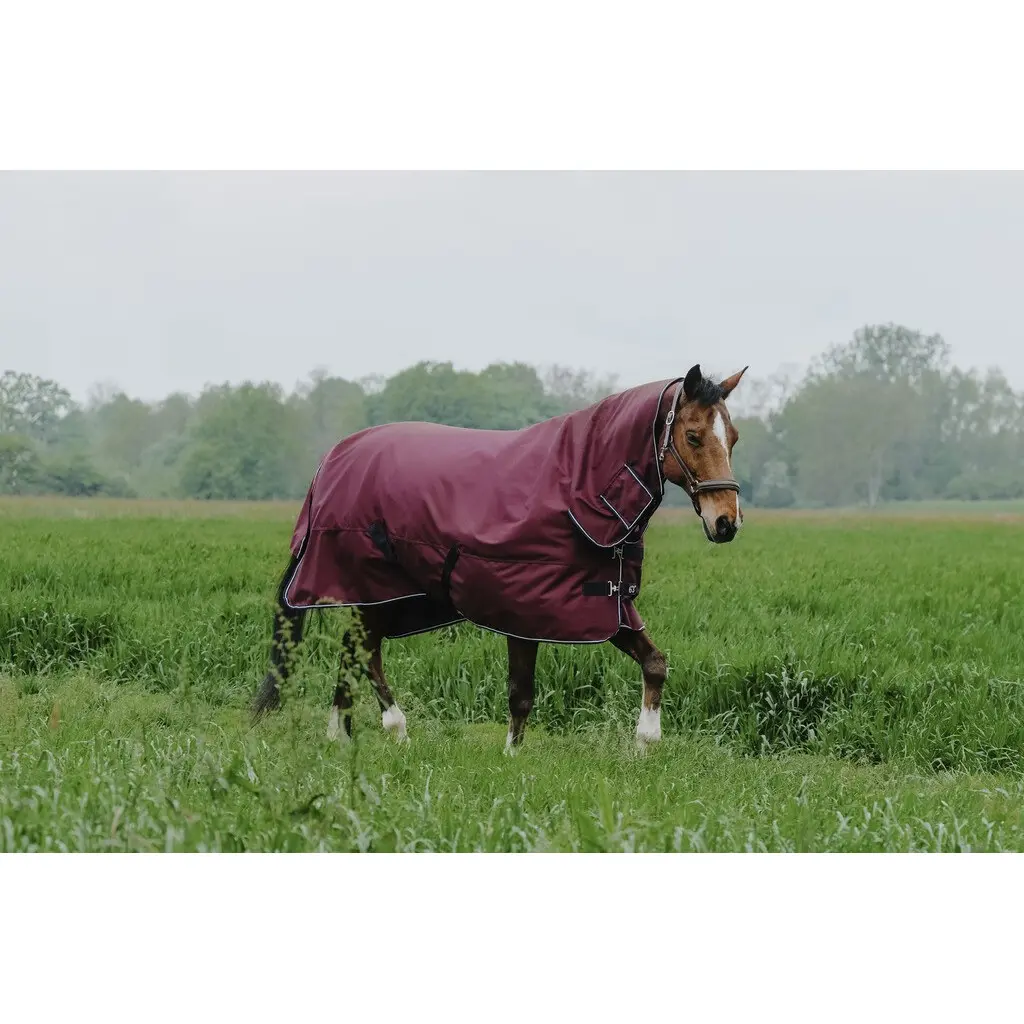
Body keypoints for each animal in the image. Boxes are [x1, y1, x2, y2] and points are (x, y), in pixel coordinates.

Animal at [250, 363, 746, 750]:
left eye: (734, 438)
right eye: (694, 436)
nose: (726, 522)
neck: (578, 487)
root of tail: (331, 460)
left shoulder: (603, 604)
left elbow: (655, 663)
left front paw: (646, 742)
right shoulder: (523, 610)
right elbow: (521, 693)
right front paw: (512, 758)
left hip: (384, 597)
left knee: (353, 651)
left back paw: (341, 734)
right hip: (372, 587)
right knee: (366, 654)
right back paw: (395, 728)